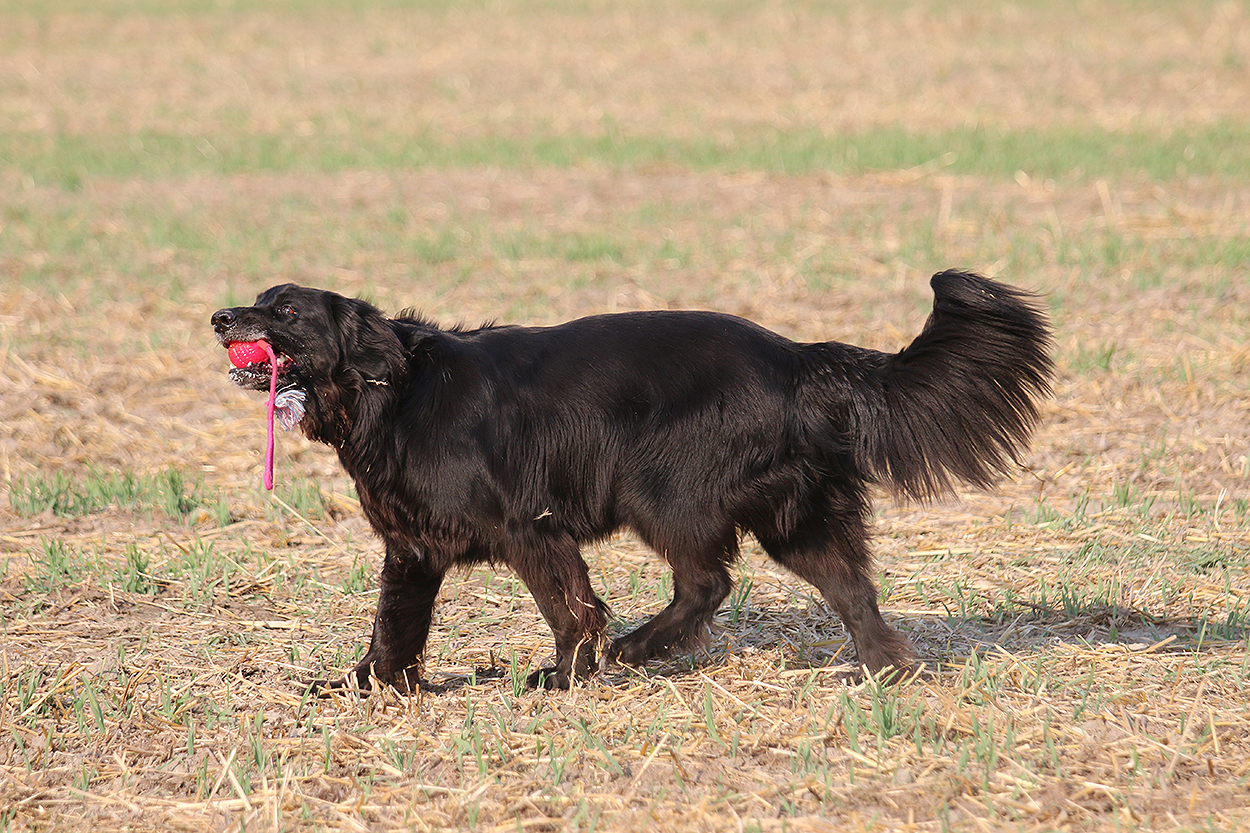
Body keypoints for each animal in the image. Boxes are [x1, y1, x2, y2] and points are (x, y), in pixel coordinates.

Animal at [211, 271, 1052, 691]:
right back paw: (883, 669)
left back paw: (634, 649)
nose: (220, 317)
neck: (395, 388)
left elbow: (571, 609)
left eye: (286, 310)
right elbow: (393, 626)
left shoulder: (531, 525)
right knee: (851, 588)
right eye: (257, 299)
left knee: (708, 582)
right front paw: (368, 685)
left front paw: (565, 677)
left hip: (664, 490)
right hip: (795, 514)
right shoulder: (413, 548)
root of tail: (798, 357)